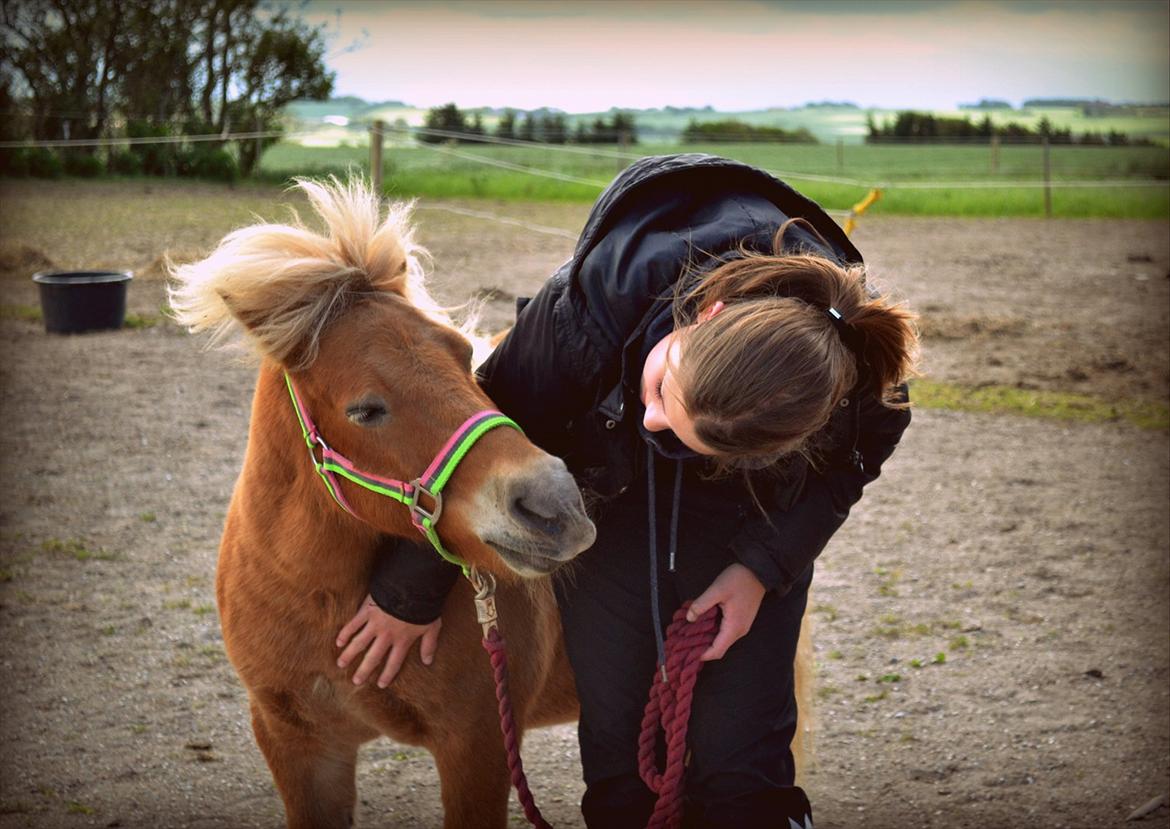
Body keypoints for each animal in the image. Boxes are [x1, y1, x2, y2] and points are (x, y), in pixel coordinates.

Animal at [168, 181, 599, 827]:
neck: (325, 605)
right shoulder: (297, 745)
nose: (555, 506)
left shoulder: (479, 748)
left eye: (463, 353)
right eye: (365, 410)